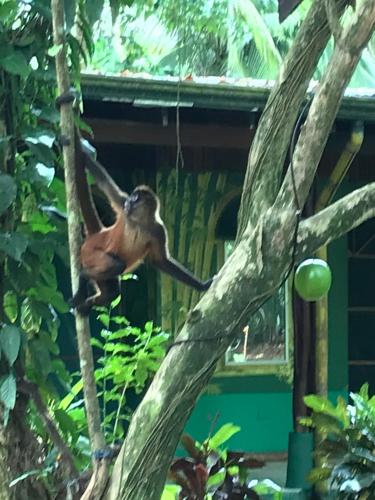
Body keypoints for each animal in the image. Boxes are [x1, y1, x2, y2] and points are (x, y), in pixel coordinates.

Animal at [56, 92, 214, 314]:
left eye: (136, 198)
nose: (130, 202)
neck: (139, 221)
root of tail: (99, 234)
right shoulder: (122, 208)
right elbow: (105, 184)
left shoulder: (158, 229)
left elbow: (161, 261)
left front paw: (202, 285)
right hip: (90, 254)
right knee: (117, 266)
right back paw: (85, 276)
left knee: (112, 290)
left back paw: (87, 302)